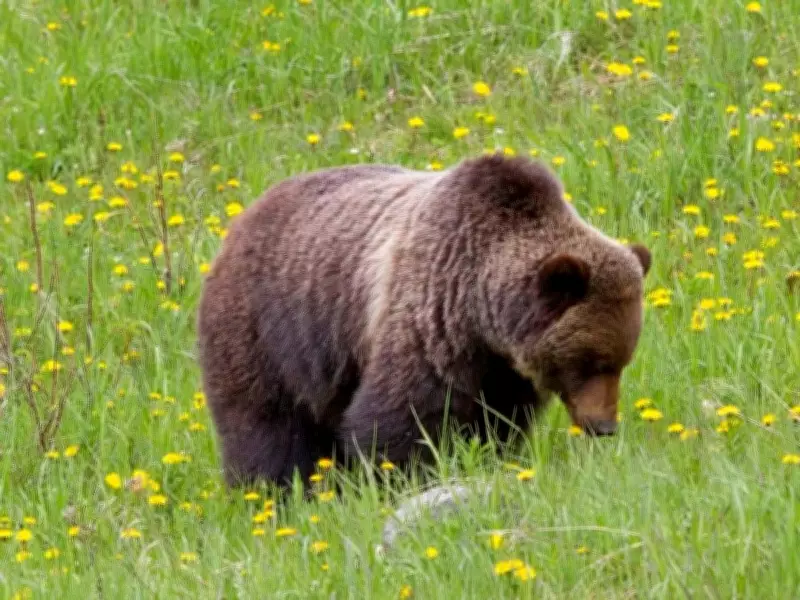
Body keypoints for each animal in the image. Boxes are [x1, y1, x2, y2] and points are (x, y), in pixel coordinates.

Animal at [196, 153, 651, 489]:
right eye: (591, 362)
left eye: (623, 361)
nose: (603, 425)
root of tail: (239, 222)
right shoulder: (429, 316)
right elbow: (402, 415)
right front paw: (403, 477)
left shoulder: (500, 369)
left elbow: (498, 421)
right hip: (270, 330)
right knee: (267, 425)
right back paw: (273, 492)